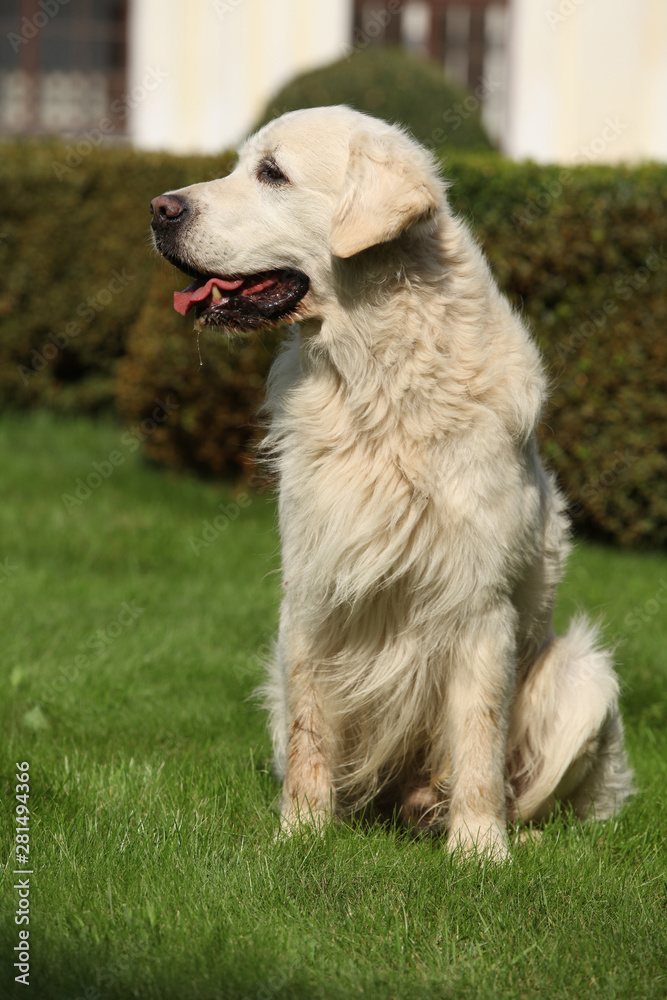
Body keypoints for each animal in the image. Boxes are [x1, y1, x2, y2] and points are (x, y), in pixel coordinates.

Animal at [150, 105, 633, 859]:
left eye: (272, 173)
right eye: (238, 165)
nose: (158, 209)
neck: (375, 378)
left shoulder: (477, 601)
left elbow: (478, 739)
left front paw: (479, 852)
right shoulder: (311, 589)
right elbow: (310, 732)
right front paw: (300, 835)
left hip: (585, 678)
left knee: (535, 796)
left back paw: (506, 836)